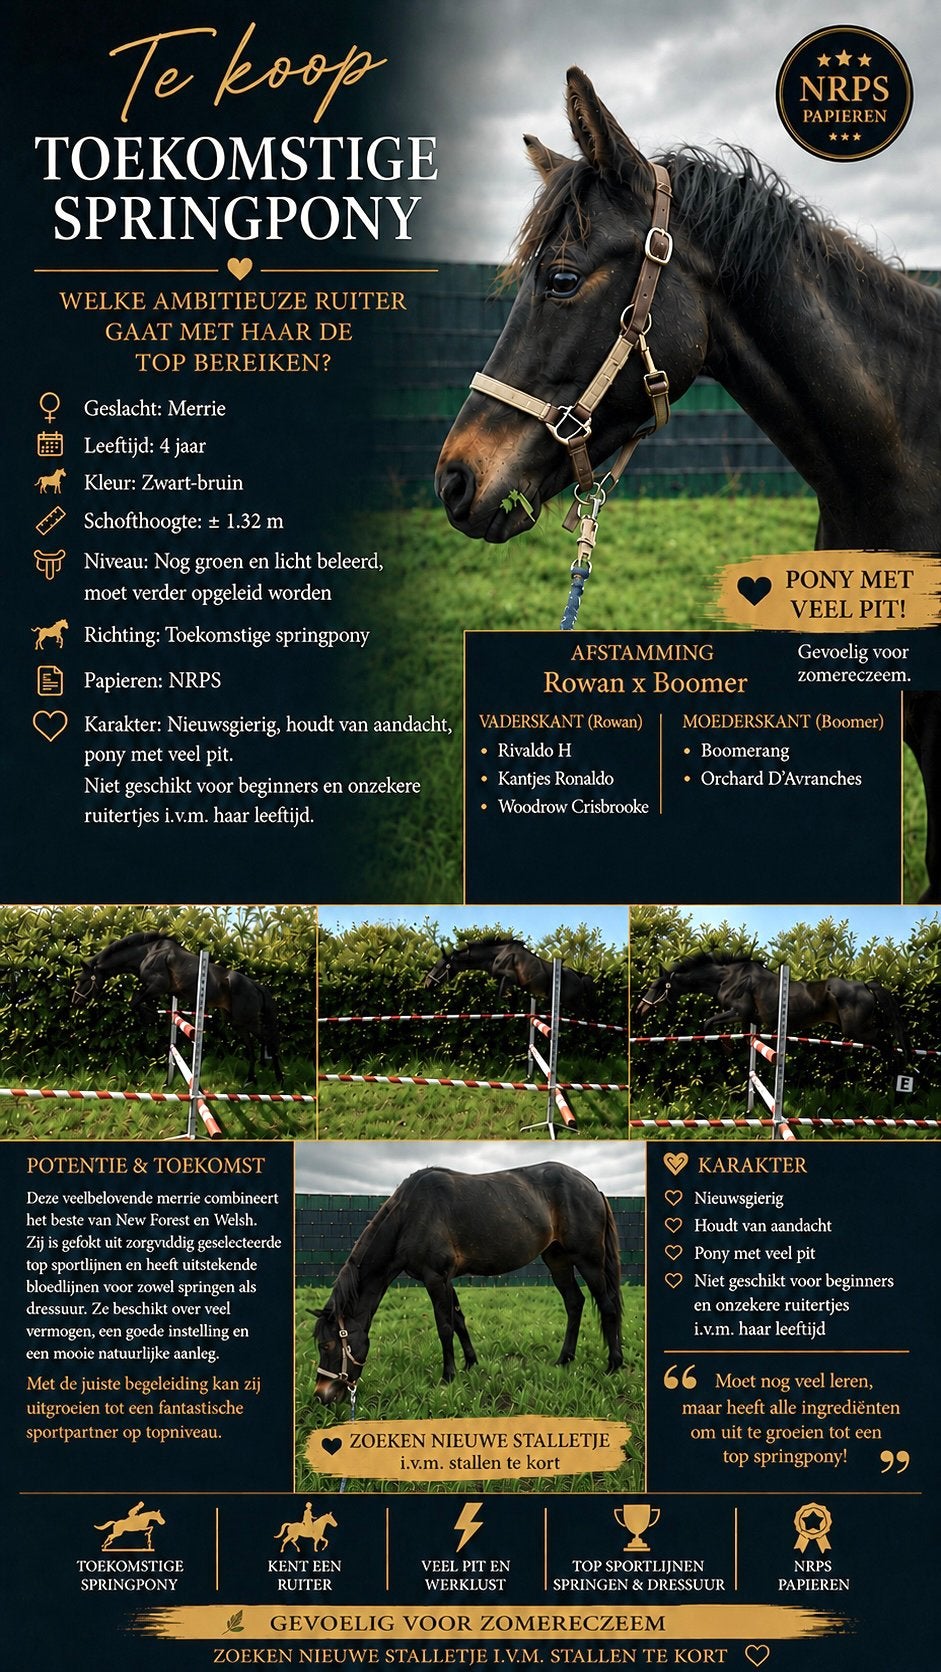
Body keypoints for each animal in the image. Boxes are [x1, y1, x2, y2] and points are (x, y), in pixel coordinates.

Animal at [72, 931, 283, 1081]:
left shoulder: (158, 986)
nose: (76, 1001)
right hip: (239, 1022)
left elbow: (134, 1001)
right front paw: (150, 1015)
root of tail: (255, 985)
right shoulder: (160, 990)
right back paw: (251, 1079)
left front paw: (149, 1017)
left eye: (83, 980)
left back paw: (279, 1079)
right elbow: (136, 999)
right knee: (252, 1047)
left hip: (247, 1021)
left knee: (269, 1041)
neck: (148, 953)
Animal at [313, 1162, 623, 1402]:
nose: (321, 1395)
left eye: (326, 1346)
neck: (410, 1214)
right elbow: (459, 1321)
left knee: (607, 1306)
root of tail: (591, 1186)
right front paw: (471, 1363)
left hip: (588, 1259)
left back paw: (614, 1365)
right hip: (557, 1258)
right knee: (574, 1302)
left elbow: (445, 1326)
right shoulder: (446, 1279)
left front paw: (448, 1376)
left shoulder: (435, 1277)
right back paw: (564, 1360)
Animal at [635, 952, 908, 1058]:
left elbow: (708, 1023)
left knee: (884, 1039)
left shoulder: (739, 1010)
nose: (640, 1009)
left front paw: (726, 1047)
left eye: (657, 986)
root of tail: (865, 985)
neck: (726, 977)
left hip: (855, 1029)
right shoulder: (749, 1017)